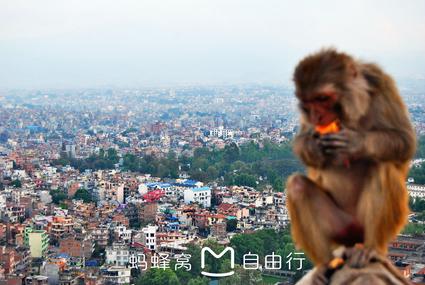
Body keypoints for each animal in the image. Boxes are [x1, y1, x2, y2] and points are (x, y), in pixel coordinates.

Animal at [284, 48, 414, 264]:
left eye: (323, 98)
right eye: (308, 102)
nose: (317, 117)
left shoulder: (382, 83)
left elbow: (405, 140)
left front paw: (356, 143)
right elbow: (303, 140)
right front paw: (315, 146)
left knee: (380, 167)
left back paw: (370, 248)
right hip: (339, 226)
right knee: (298, 186)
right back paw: (325, 264)